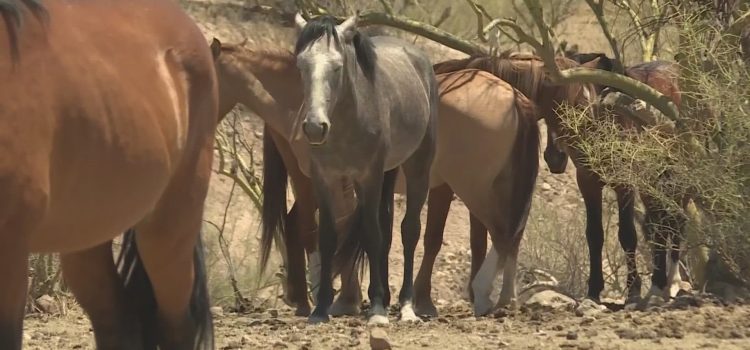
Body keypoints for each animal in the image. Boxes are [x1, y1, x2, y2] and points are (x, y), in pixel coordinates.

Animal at [296, 13, 440, 326]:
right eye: (301, 64)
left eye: (337, 67)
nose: (314, 127)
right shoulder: (324, 178)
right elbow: (329, 236)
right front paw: (321, 308)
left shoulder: (369, 176)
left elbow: (373, 233)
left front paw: (376, 309)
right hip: (388, 172)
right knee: (387, 227)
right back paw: (387, 298)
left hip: (418, 168)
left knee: (408, 230)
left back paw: (406, 305)